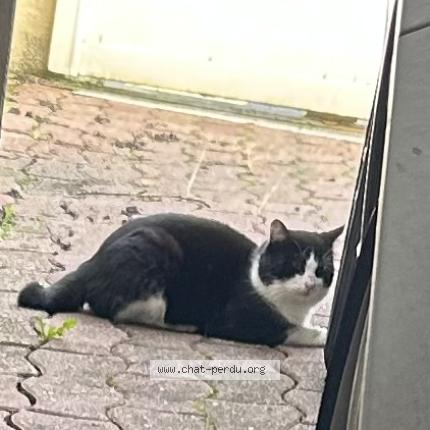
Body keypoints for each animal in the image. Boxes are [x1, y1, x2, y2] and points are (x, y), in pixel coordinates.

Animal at [18, 213, 343, 347]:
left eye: (321, 271)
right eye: (295, 266)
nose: (310, 284)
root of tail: (92, 260)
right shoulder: (235, 321)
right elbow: (291, 331)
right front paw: (323, 334)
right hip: (154, 259)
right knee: (119, 310)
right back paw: (182, 325)